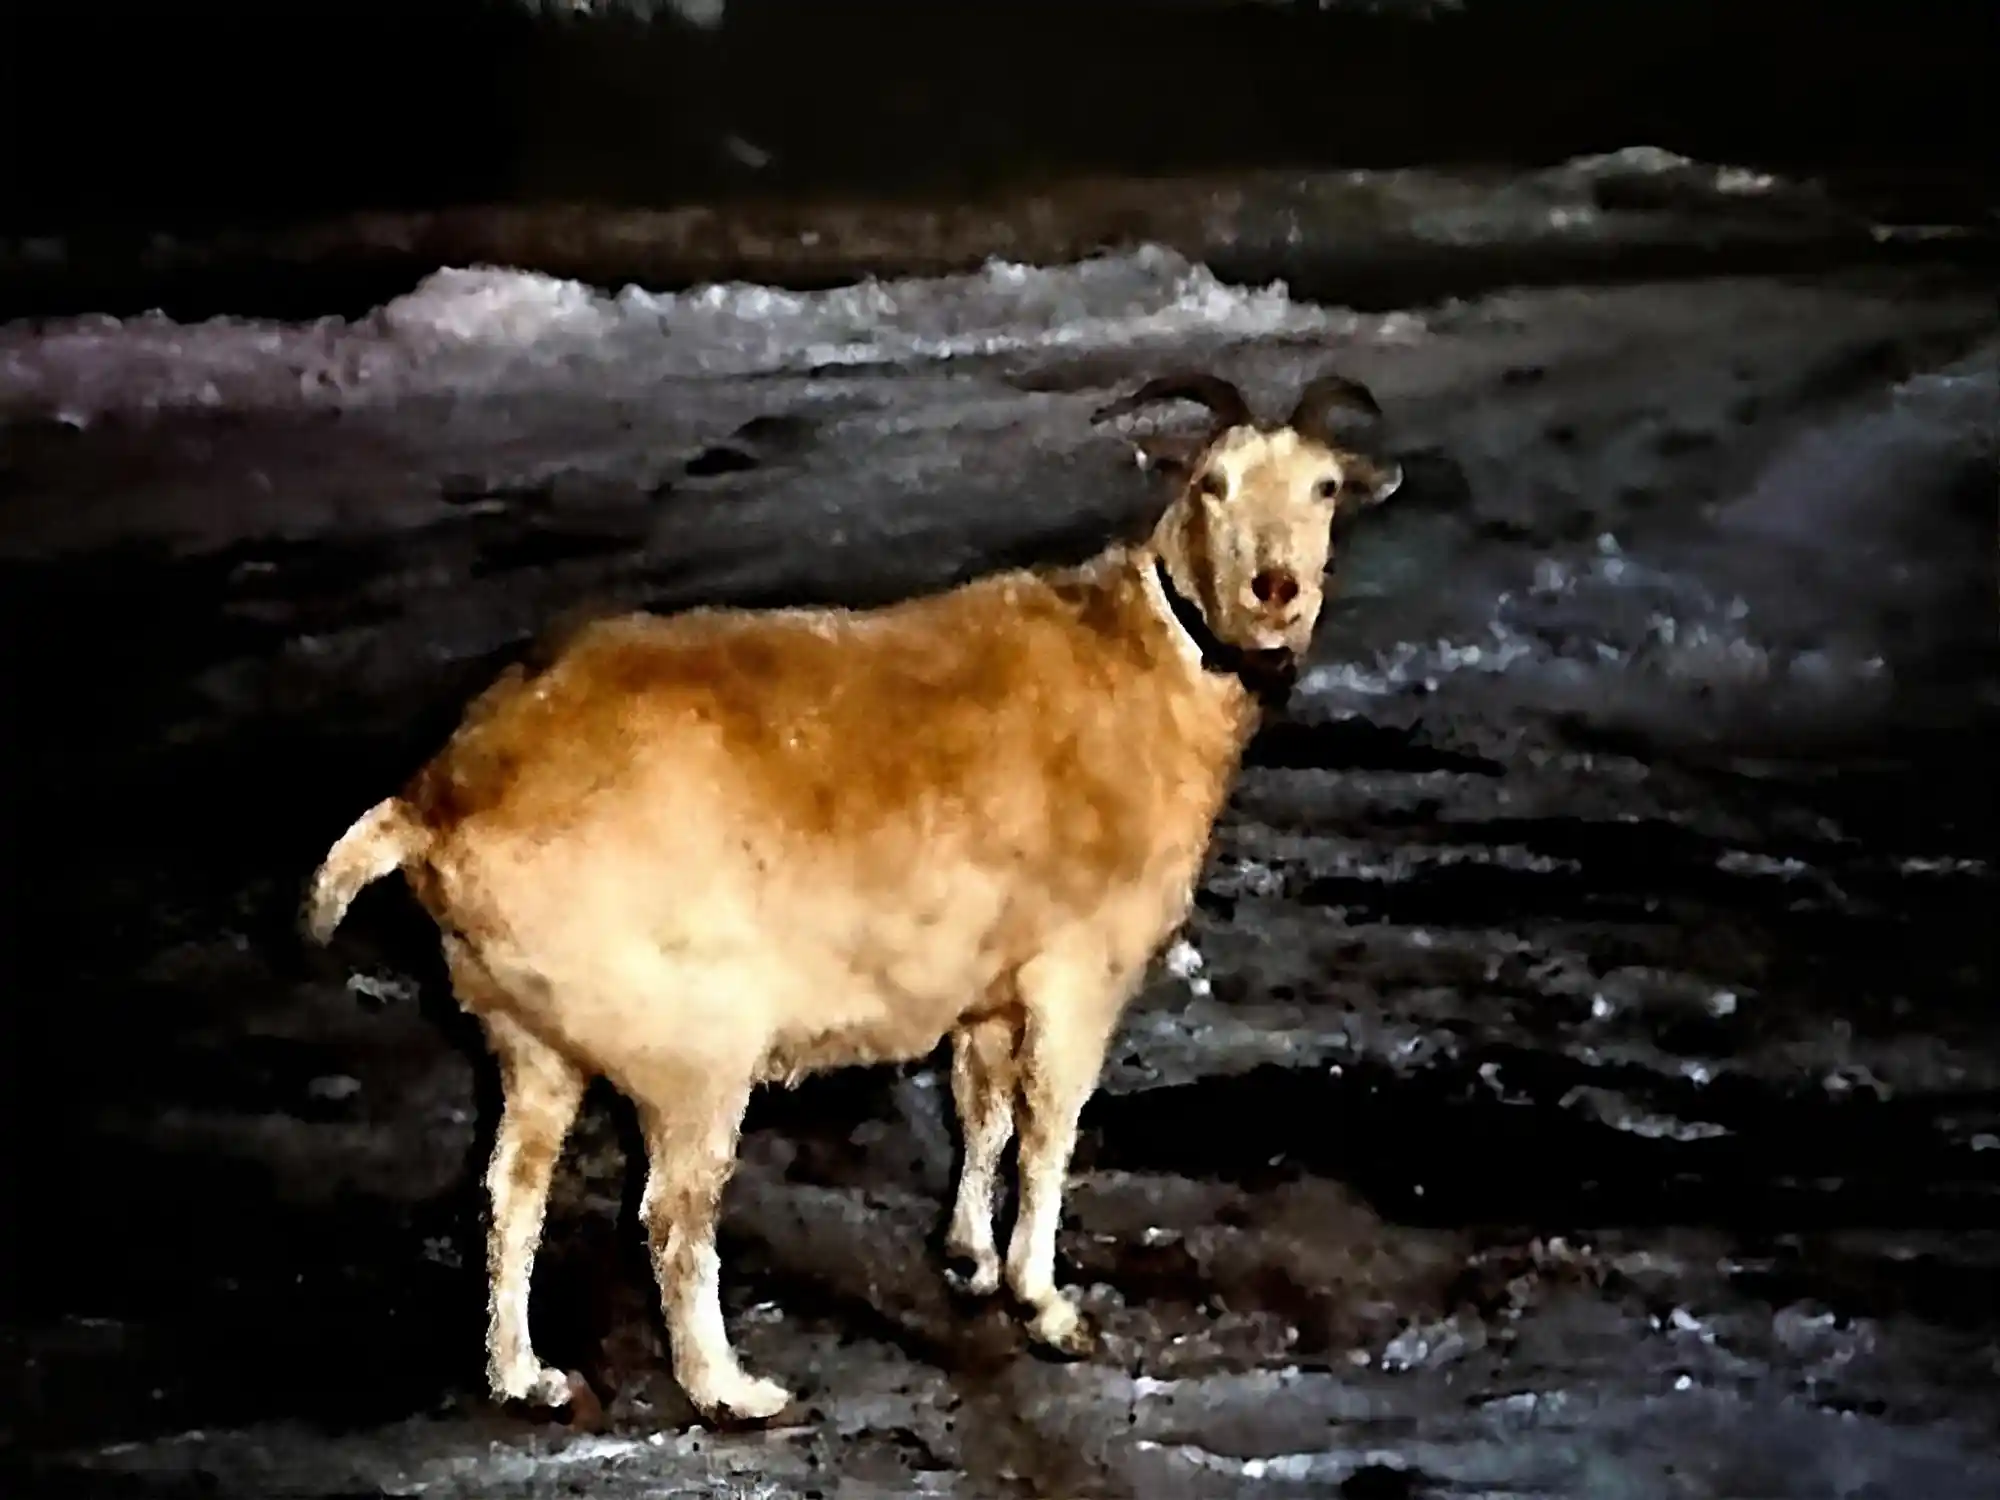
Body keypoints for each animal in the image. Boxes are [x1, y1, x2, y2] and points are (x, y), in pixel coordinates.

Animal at [302, 368, 1404, 1424]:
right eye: (1211, 482)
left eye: (1324, 487)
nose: (1274, 588)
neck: (1153, 662)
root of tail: (439, 802)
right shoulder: (1077, 968)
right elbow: (1048, 1128)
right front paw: (1045, 1305)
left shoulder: (985, 981)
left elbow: (981, 1110)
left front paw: (967, 1259)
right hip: (692, 1041)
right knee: (672, 1212)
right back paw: (730, 1389)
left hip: (529, 1035)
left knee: (509, 1190)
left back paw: (524, 1376)